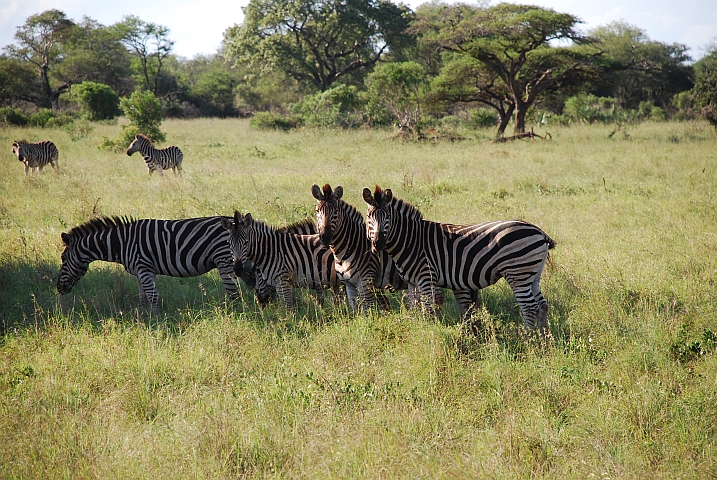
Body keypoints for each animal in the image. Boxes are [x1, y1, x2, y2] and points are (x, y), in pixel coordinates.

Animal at [57, 216, 257, 312]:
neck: (122, 243)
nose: (58, 289)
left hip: (225, 262)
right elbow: (143, 297)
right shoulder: (140, 271)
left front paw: (157, 321)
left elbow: (153, 296)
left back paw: (235, 314)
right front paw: (144, 316)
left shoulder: (144, 267)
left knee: (234, 293)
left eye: (63, 259)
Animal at [312, 183, 444, 312]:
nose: (325, 237)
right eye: (317, 211)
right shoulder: (349, 285)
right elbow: (355, 310)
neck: (349, 245)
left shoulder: (366, 281)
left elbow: (367, 310)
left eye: (336, 211)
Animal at [363, 185, 556, 333]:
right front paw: (418, 328)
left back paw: (528, 339)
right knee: (542, 305)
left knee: (529, 307)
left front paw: (430, 333)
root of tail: (539, 231)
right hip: (532, 275)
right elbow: (416, 307)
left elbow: (429, 309)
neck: (411, 241)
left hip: (518, 274)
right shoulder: (412, 282)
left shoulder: (426, 277)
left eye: (388, 217)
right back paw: (544, 338)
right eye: (369, 217)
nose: (378, 244)